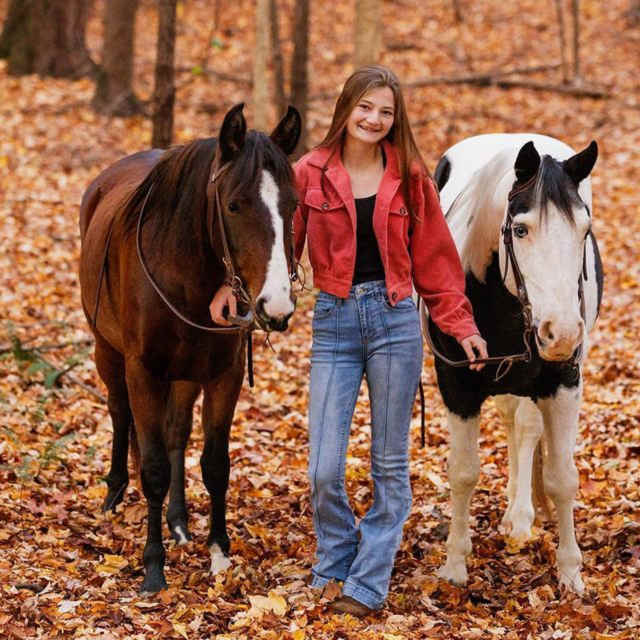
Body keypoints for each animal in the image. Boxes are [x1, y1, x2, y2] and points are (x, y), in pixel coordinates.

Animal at [79, 104, 301, 592]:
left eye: (293, 205)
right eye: (234, 205)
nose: (276, 305)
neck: (185, 273)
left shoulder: (223, 374)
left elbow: (214, 463)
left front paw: (217, 549)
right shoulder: (143, 371)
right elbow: (153, 468)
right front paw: (153, 565)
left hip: (184, 374)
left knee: (177, 432)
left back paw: (178, 521)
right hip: (108, 352)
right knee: (119, 411)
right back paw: (115, 492)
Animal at [424, 133, 603, 594]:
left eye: (585, 231)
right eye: (520, 230)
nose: (563, 333)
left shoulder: (563, 382)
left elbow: (563, 478)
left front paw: (570, 572)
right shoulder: (457, 386)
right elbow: (463, 473)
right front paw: (455, 564)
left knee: (525, 429)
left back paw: (522, 516)